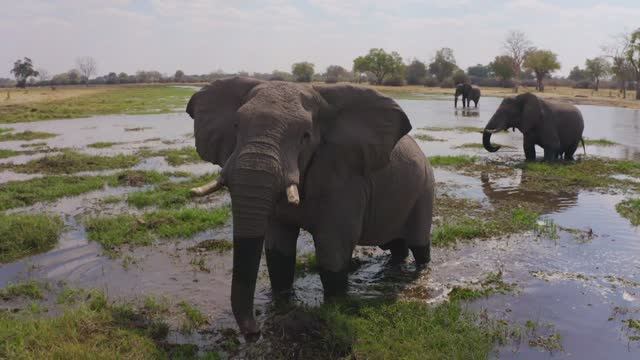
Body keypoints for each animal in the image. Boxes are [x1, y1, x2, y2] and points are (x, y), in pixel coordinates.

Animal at [185, 76, 436, 338]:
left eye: (305, 136)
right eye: (236, 125)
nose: (255, 331)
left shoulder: (343, 177)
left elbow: (333, 248)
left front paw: (334, 308)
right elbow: (279, 248)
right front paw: (281, 305)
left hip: (425, 189)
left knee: (419, 246)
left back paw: (419, 273)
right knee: (396, 245)